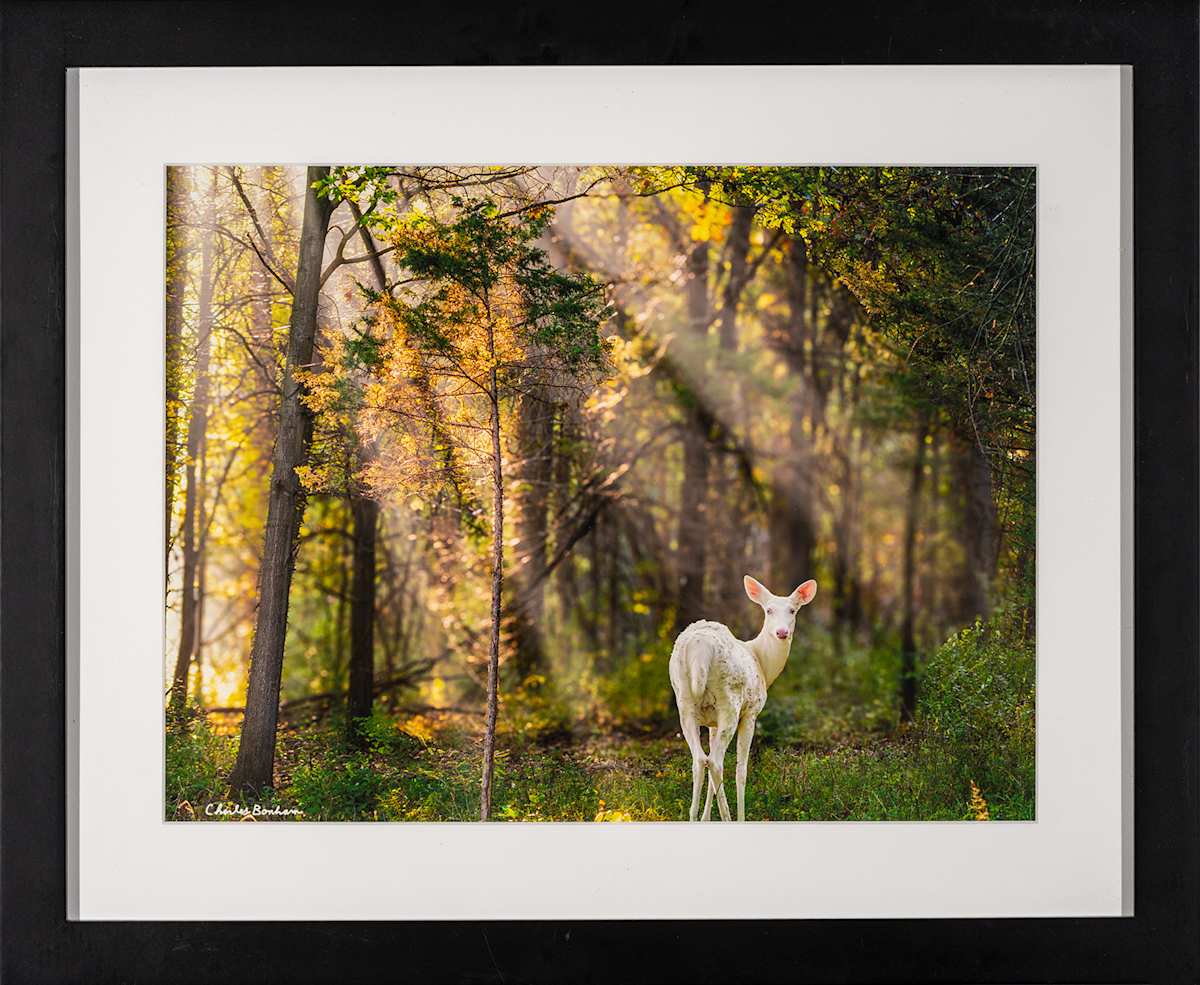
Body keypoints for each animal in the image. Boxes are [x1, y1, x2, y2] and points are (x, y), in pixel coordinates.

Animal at [668, 575, 818, 821]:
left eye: (793, 610)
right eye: (768, 610)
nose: (782, 632)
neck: (762, 663)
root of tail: (700, 648)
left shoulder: (712, 723)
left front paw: (706, 818)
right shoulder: (751, 712)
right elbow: (742, 770)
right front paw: (739, 816)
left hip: (685, 701)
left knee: (700, 760)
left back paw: (693, 818)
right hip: (730, 702)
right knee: (716, 762)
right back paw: (729, 818)